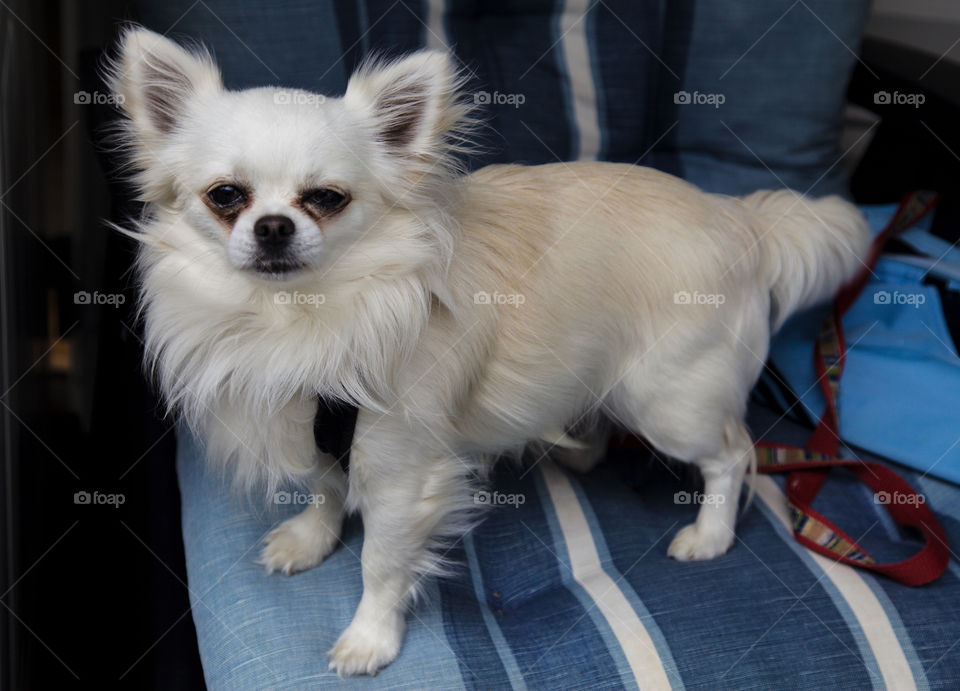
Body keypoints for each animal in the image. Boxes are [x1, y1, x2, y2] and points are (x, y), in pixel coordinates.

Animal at [110, 27, 872, 676]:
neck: (299, 316)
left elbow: (381, 562)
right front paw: (309, 537)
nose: (272, 226)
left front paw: (369, 638)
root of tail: (741, 217)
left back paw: (709, 535)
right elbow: (326, 488)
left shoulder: (402, 470)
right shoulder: (318, 429)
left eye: (325, 198)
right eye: (225, 197)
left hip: (669, 398)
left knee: (733, 455)